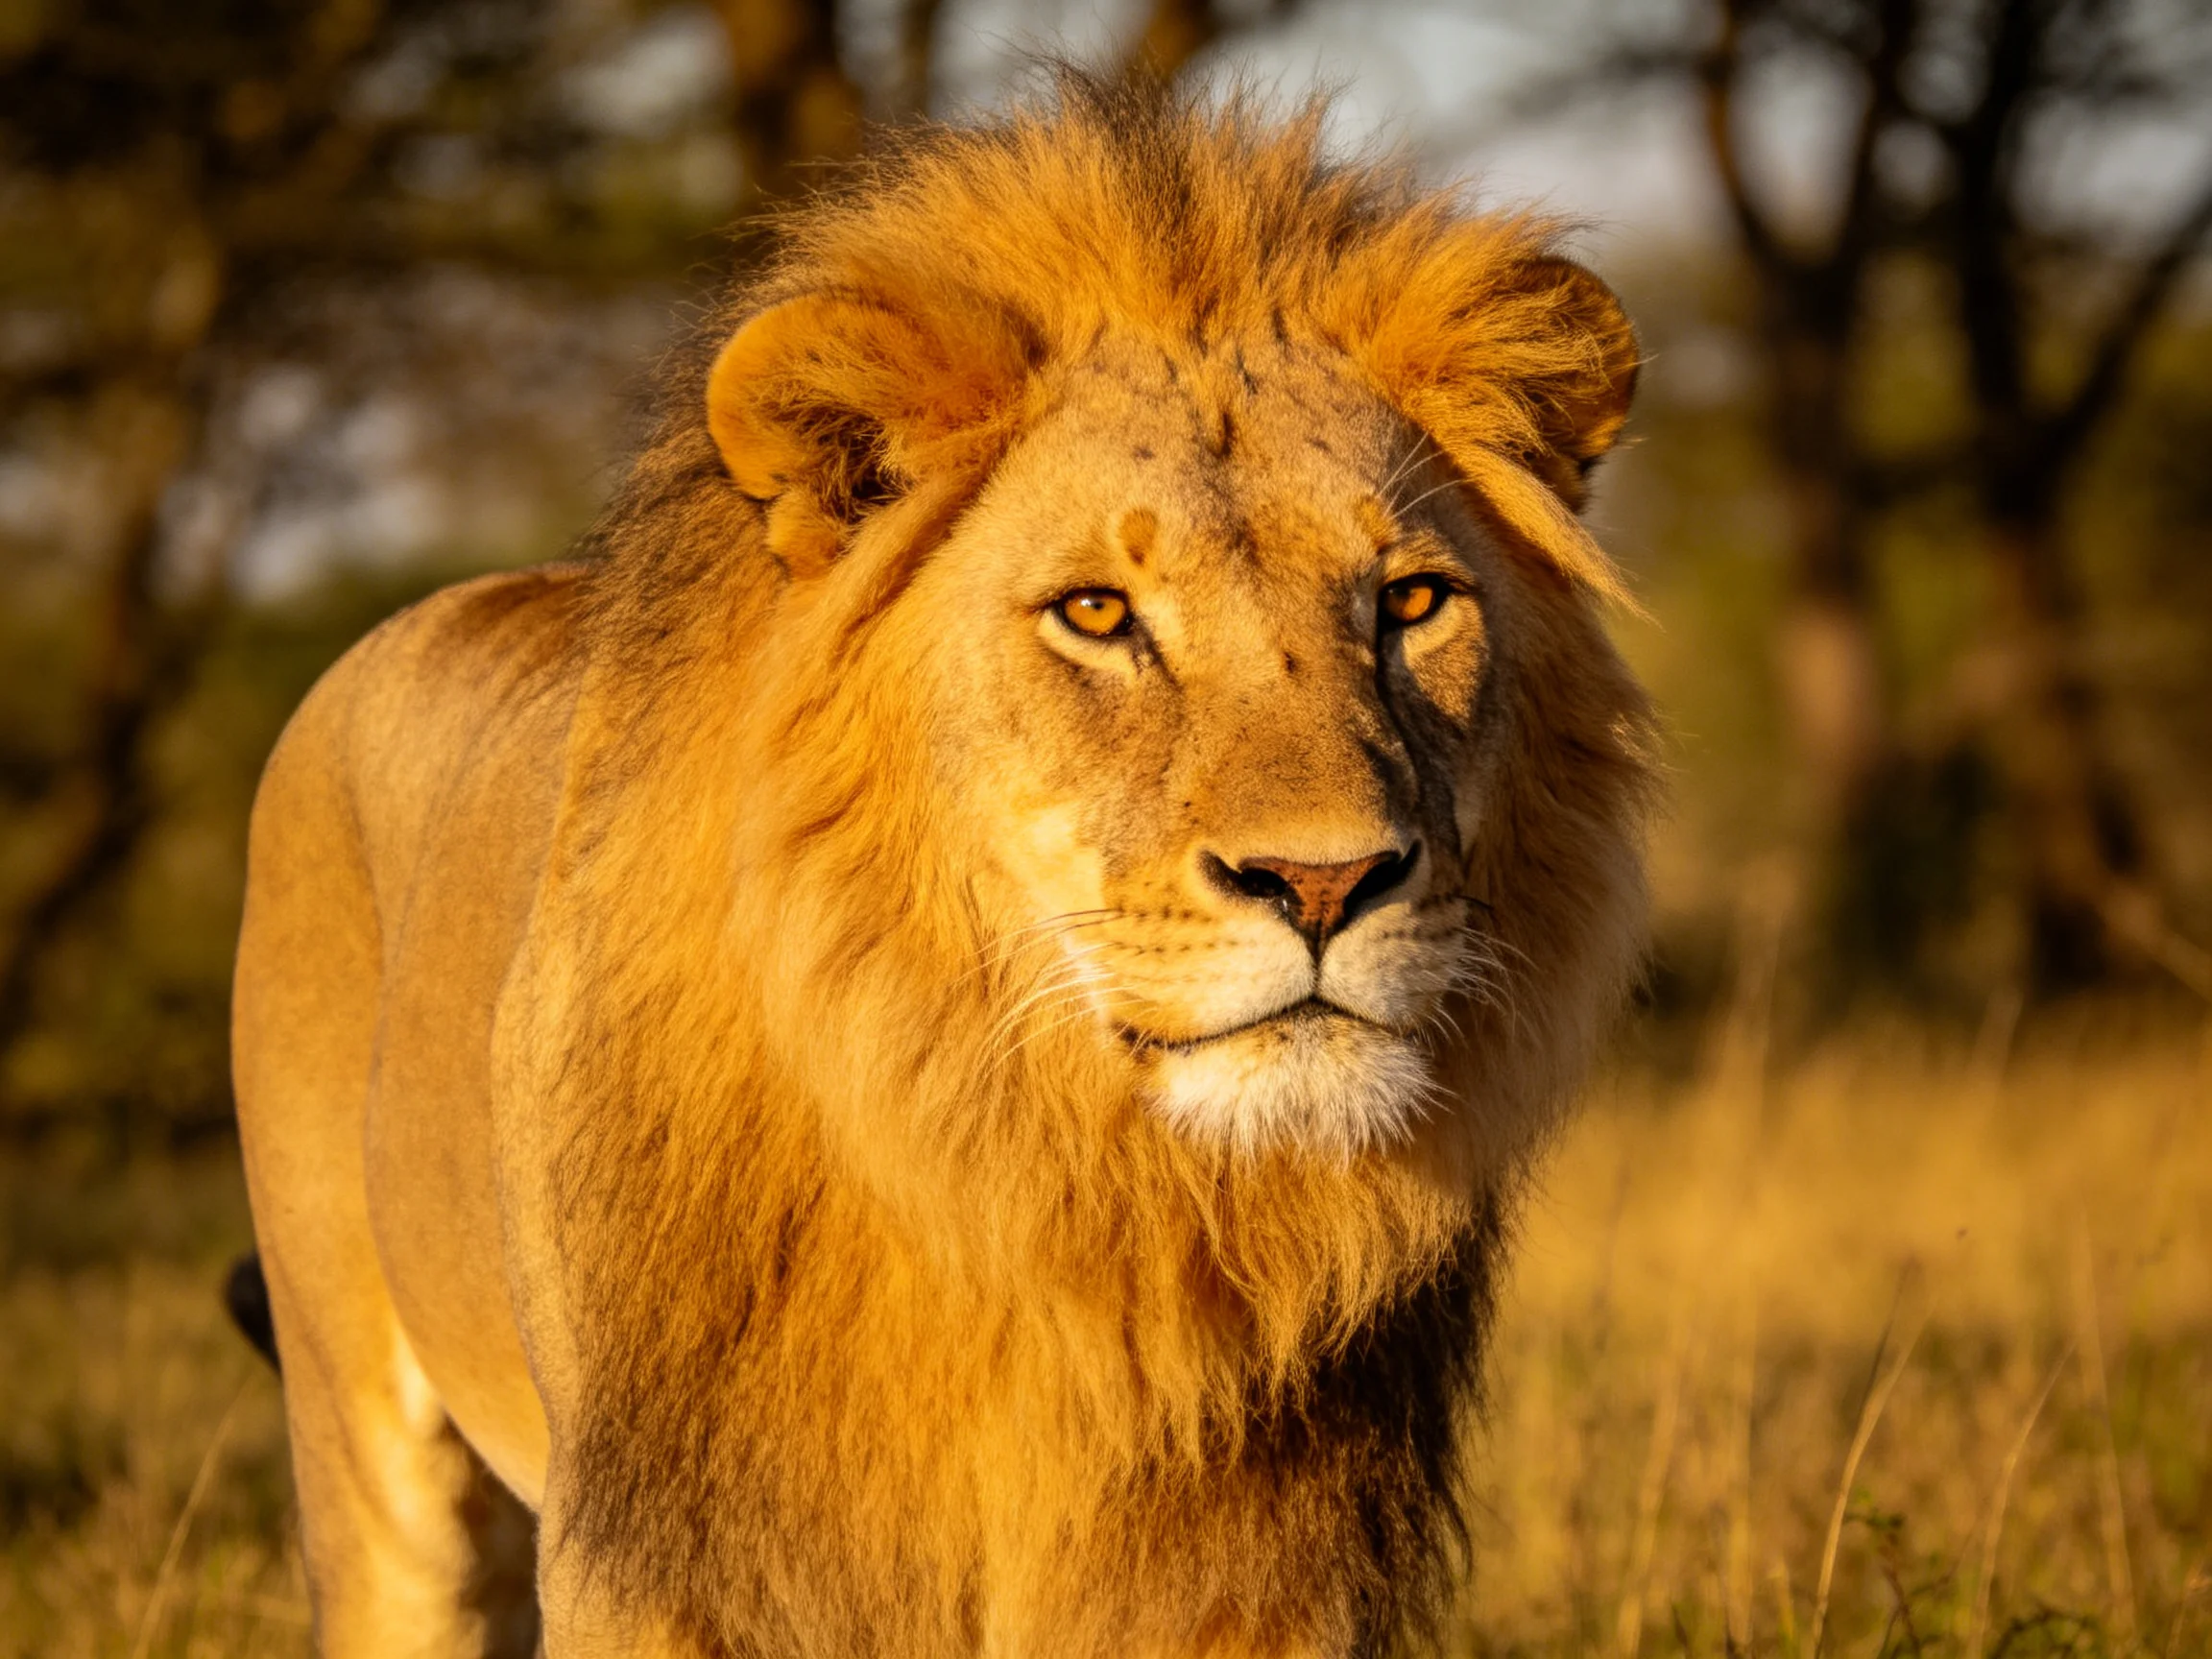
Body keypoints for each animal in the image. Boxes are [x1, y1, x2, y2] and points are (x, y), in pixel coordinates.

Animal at [230, 71, 1654, 1659]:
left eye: (1411, 603)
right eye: (1097, 613)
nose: (1329, 884)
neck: (1045, 1193)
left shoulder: (1256, 1581)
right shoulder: (667, 1560)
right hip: (369, 1455)